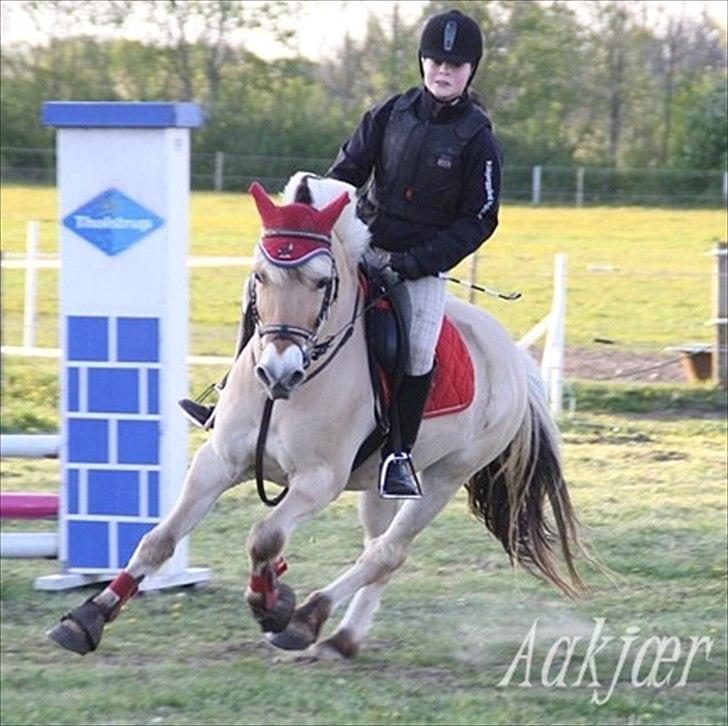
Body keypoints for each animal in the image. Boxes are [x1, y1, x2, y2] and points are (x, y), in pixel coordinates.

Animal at [48, 173, 588, 664]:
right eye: (259, 276)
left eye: (323, 282)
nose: (277, 370)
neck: (287, 392)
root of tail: (512, 356)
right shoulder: (219, 462)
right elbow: (159, 539)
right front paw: (89, 616)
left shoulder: (317, 480)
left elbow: (264, 537)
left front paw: (272, 603)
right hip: (377, 486)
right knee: (378, 552)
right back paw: (342, 638)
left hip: (444, 477)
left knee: (387, 552)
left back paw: (307, 620)